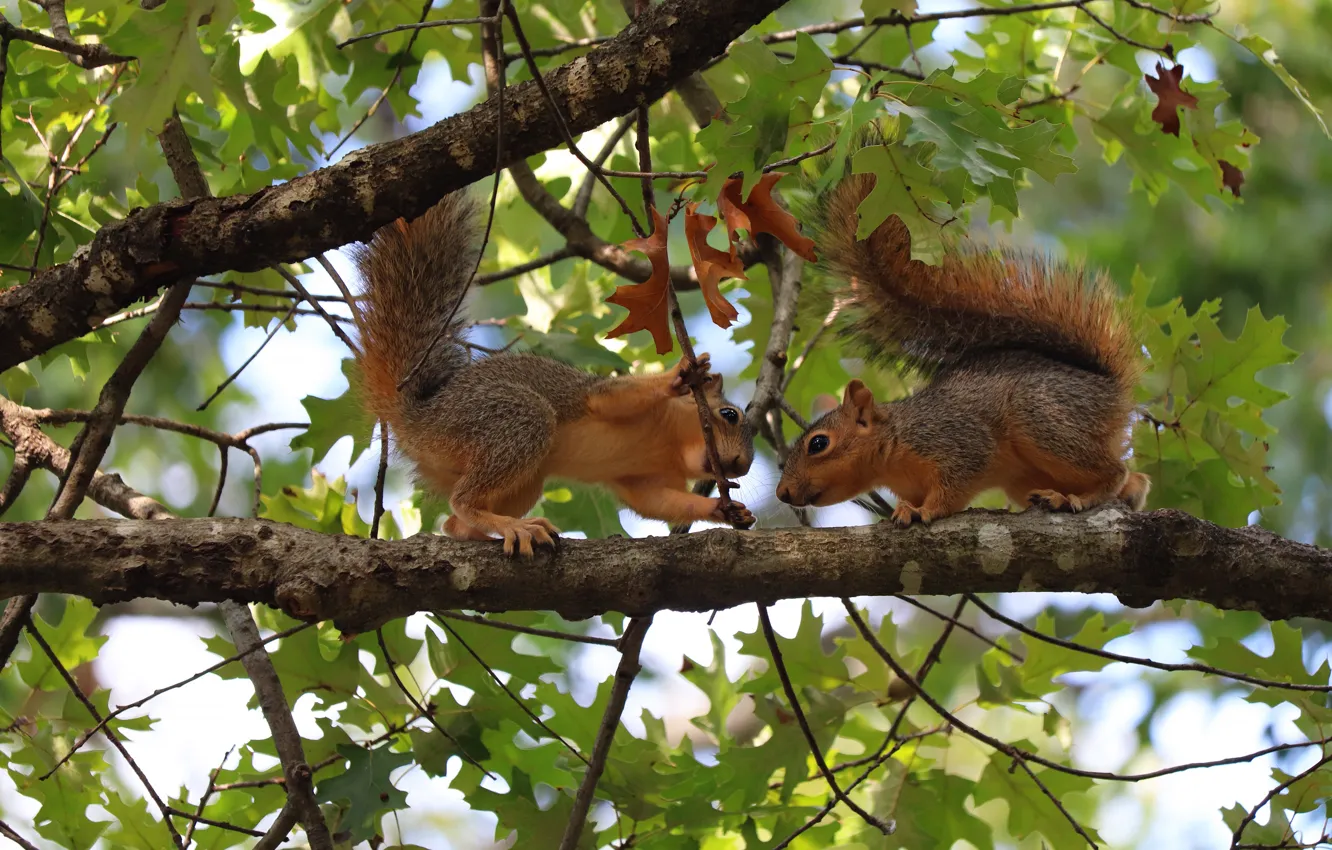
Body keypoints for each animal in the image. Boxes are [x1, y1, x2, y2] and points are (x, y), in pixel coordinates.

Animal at [349, 192, 756, 556]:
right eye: (729, 415)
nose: (741, 466)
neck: (670, 443)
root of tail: (417, 418)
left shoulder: (643, 481)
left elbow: (659, 503)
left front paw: (725, 510)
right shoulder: (609, 401)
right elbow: (611, 397)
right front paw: (679, 374)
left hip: (528, 478)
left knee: (455, 524)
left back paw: (508, 528)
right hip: (509, 420)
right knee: (464, 501)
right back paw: (513, 526)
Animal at [775, 134, 1151, 527]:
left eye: (819, 443)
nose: (782, 493)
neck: (894, 445)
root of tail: (1110, 389)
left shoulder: (959, 442)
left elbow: (954, 486)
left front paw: (926, 510)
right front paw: (905, 509)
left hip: (1043, 419)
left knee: (1114, 472)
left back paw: (1077, 498)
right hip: (1028, 472)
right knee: (1135, 480)